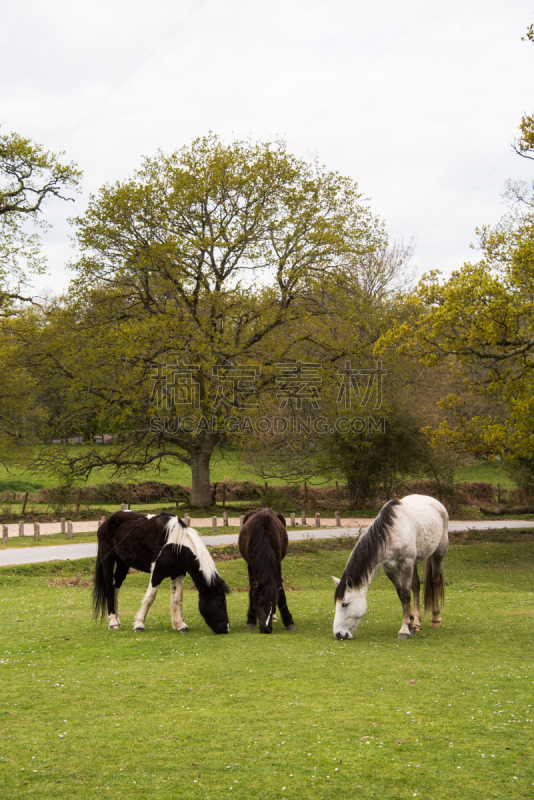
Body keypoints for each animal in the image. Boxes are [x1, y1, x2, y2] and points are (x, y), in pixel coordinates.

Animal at [92, 512, 230, 636]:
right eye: (220, 603)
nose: (226, 628)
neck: (177, 544)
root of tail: (106, 522)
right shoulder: (157, 572)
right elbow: (150, 597)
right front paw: (139, 625)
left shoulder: (178, 573)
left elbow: (177, 598)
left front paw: (181, 625)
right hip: (108, 560)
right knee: (109, 589)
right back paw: (113, 622)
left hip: (123, 564)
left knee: (116, 589)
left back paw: (117, 620)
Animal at [332, 496, 450, 640]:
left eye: (344, 604)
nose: (338, 634)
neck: (391, 535)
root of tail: (435, 502)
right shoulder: (390, 569)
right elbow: (401, 593)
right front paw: (411, 625)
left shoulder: (406, 564)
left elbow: (405, 595)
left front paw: (404, 630)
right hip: (415, 562)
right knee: (416, 586)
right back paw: (417, 622)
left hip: (438, 554)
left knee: (435, 581)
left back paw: (436, 618)